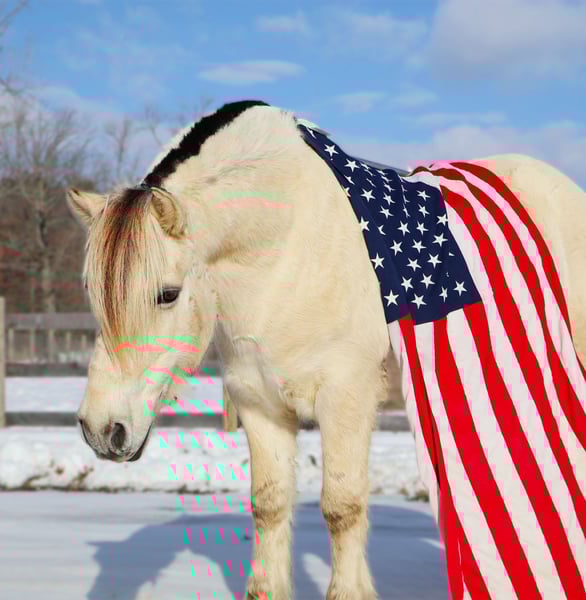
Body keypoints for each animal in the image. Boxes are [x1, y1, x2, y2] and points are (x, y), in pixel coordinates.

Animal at [66, 100, 586, 599]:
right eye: (92, 290)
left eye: (168, 294)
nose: (102, 430)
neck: (285, 248)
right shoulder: (260, 404)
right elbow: (269, 504)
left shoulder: (345, 400)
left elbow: (342, 506)